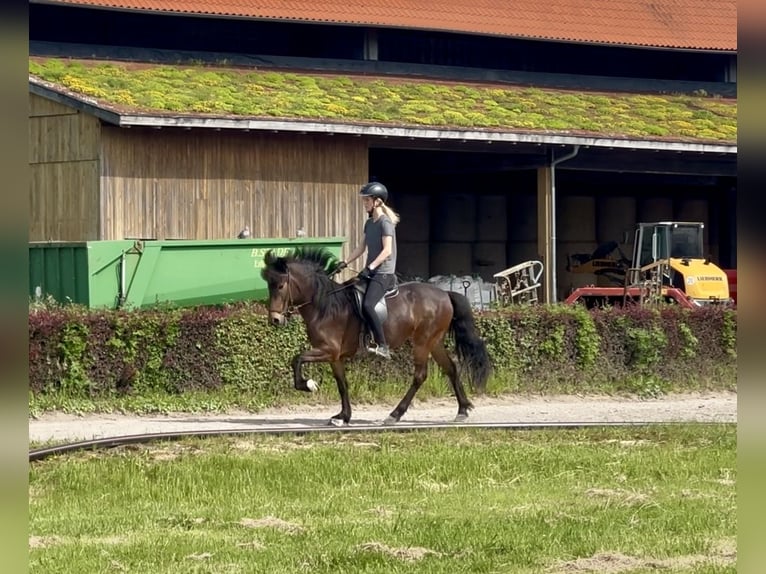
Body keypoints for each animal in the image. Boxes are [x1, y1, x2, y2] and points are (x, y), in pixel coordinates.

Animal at [260, 246, 492, 426]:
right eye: (268, 286)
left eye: (280, 286)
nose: (275, 320)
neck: (324, 305)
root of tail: (444, 294)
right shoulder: (335, 357)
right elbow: (342, 384)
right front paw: (343, 416)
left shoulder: (328, 350)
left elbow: (297, 359)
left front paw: (308, 385)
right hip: (434, 342)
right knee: (451, 368)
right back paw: (462, 410)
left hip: (423, 342)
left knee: (420, 375)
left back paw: (395, 414)